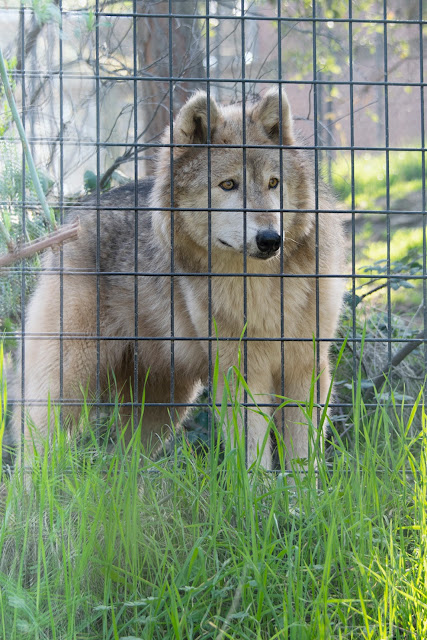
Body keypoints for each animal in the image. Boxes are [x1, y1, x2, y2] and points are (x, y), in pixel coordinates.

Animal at [10, 89, 344, 470]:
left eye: (274, 183)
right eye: (228, 185)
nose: (270, 239)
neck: (260, 286)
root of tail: (72, 219)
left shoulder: (306, 369)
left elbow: (303, 463)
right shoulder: (242, 374)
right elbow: (252, 461)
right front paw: (258, 488)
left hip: (162, 410)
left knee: (121, 467)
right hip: (68, 387)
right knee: (31, 460)